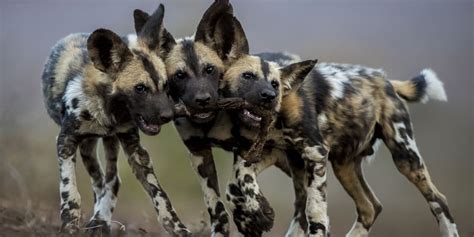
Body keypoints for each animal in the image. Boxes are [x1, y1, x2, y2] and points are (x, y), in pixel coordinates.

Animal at [41, 4, 193, 236]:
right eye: (140, 88)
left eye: (165, 85)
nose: (168, 115)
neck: (109, 114)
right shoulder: (65, 141)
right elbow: (69, 189)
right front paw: (70, 224)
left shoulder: (135, 149)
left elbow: (159, 194)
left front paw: (178, 228)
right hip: (88, 146)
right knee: (98, 181)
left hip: (109, 143)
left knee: (112, 181)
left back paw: (100, 220)